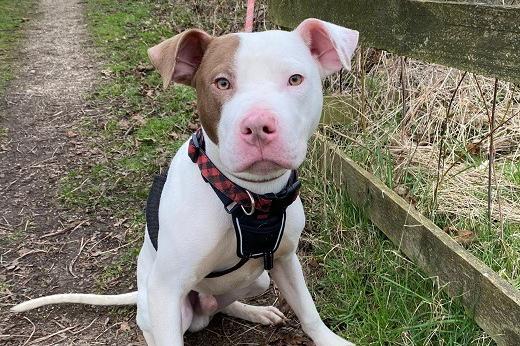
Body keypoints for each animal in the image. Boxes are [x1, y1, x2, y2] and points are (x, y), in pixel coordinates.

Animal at [13, 18, 362, 346]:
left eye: (295, 79)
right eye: (222, 82)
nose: (258, 126)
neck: (249, 196)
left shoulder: (286, 260)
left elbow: (308, 311)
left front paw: (332, 340)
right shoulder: (166, 289)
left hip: (258, 279)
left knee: (224, 304)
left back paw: (256, 312)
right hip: (162, 303)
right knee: (154, 327)